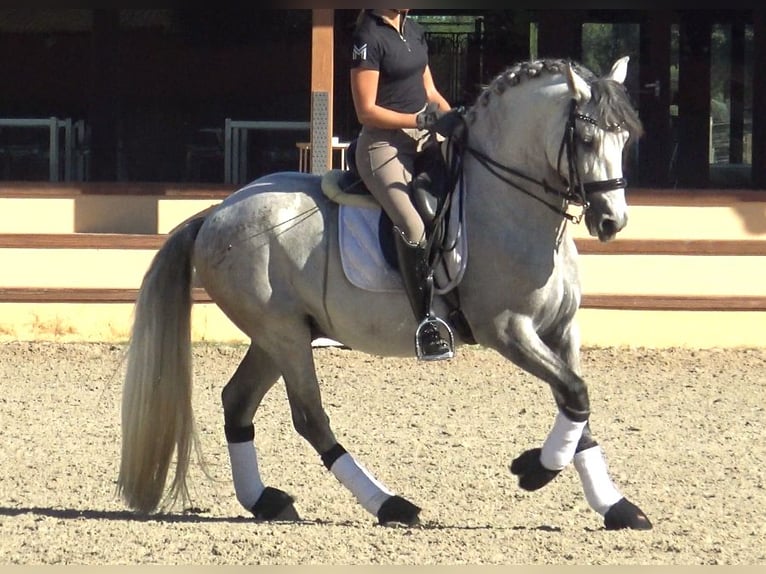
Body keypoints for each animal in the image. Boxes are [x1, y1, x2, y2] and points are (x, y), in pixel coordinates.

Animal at [118, 57, 656, 532]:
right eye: (585, 138)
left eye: (626, 138)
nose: (612, 221)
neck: (508, 206)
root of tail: (215, 213)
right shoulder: (506, 329)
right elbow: (575, 393)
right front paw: (535, 470)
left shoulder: (561, 329)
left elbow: (576, 403)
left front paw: (616, 507)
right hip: (283, 335)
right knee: (310, 418)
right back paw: (390, 505)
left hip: (279, 336)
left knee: (237, 402)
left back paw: (266, 500)